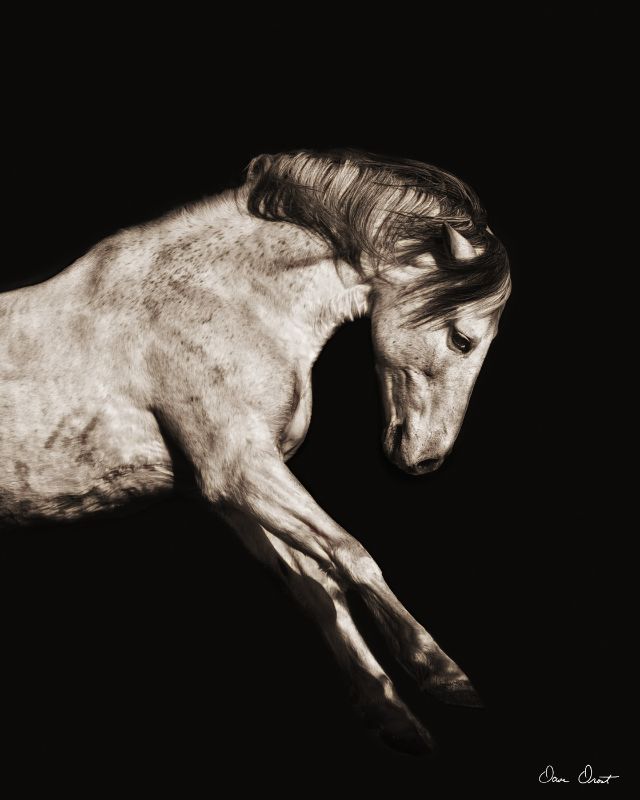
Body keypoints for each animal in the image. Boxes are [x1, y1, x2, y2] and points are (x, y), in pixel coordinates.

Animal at [0, 149, 511, 754]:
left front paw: (395, 717)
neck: (219, 300)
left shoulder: (234, 495)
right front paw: (442, 672)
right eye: (462, 339)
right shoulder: (239, 468)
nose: (426, 459)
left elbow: (319, 587)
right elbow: (352, 552)